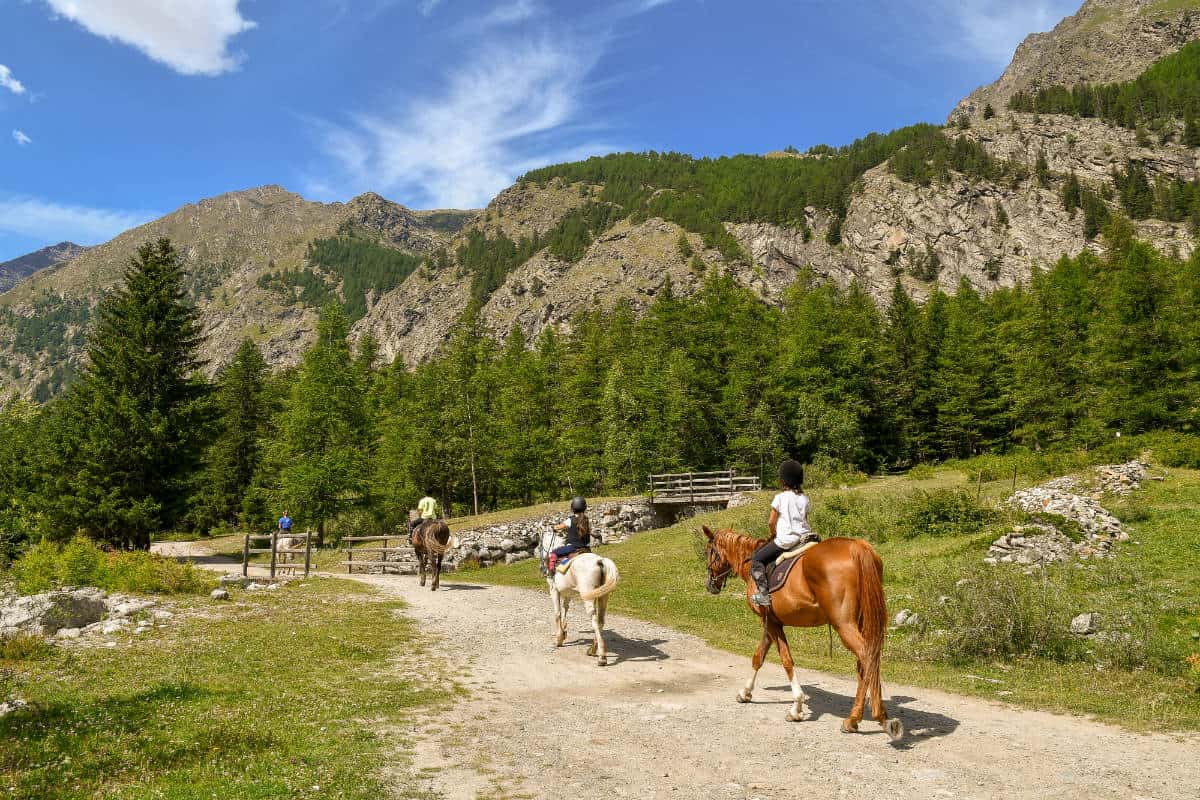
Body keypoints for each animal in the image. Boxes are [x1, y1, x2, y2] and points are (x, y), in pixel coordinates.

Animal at [540, 527, 624, 666]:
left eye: (539, 546)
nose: (541, 567)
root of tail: (599, 561)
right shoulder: (567, 592)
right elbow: (565, 609)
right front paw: (564, 632)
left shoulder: (554, 590)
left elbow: (558, 613)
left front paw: (559, 639)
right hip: (603, 596)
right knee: (601, 621)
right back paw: (592, 649)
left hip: (589, 598)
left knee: (595, 621)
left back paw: (601, 656)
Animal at [700, 527, 902, 743]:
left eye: (709, 551)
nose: (710, 584)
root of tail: (857, 547)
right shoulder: (772, 623)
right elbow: (758, 658)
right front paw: (745, 693)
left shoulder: (770, 623)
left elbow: (785, 660)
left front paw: (796, 706)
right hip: (863, 621)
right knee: (867, 661)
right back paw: (861, 718)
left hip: (844, 624)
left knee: (866, 656)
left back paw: (873, 717)